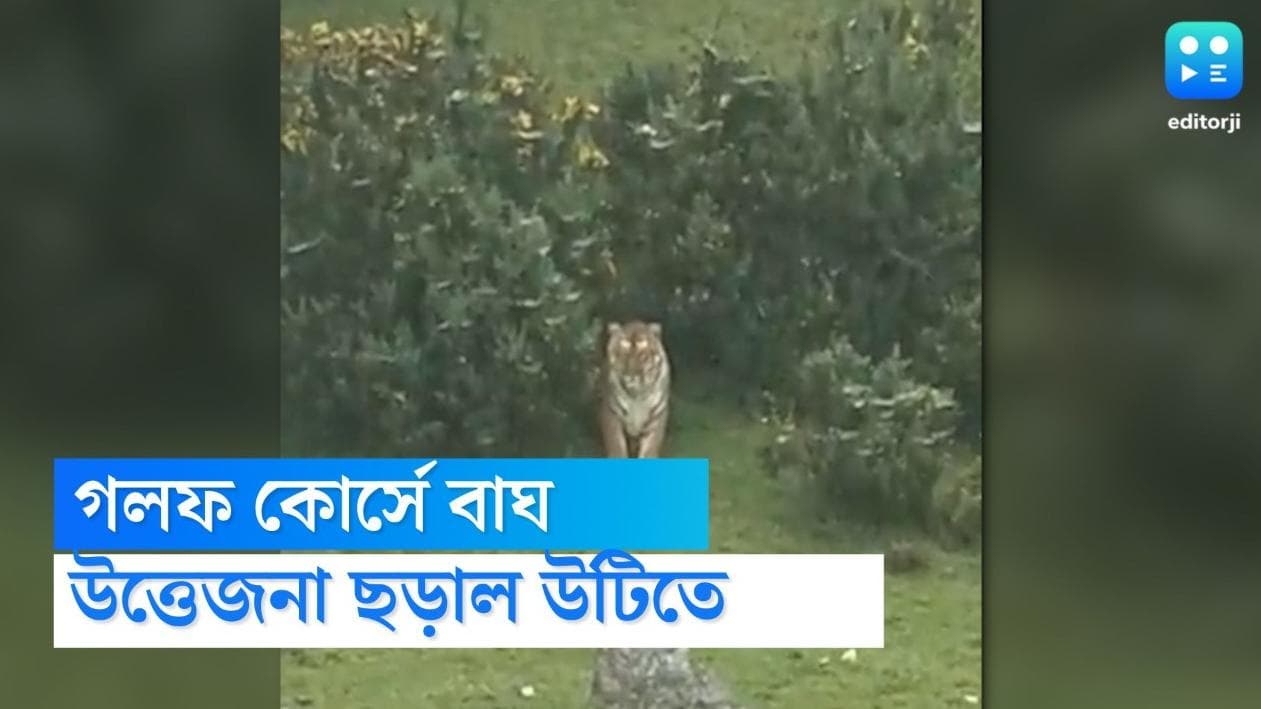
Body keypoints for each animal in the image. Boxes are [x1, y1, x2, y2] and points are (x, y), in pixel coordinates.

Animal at [598, 320, 671, 458]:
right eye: (624, 355)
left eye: (643, 356)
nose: (631, 375)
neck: (636, 395)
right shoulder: (612, 416)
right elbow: (617, 449)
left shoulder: (655, 421)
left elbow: (649, 452)